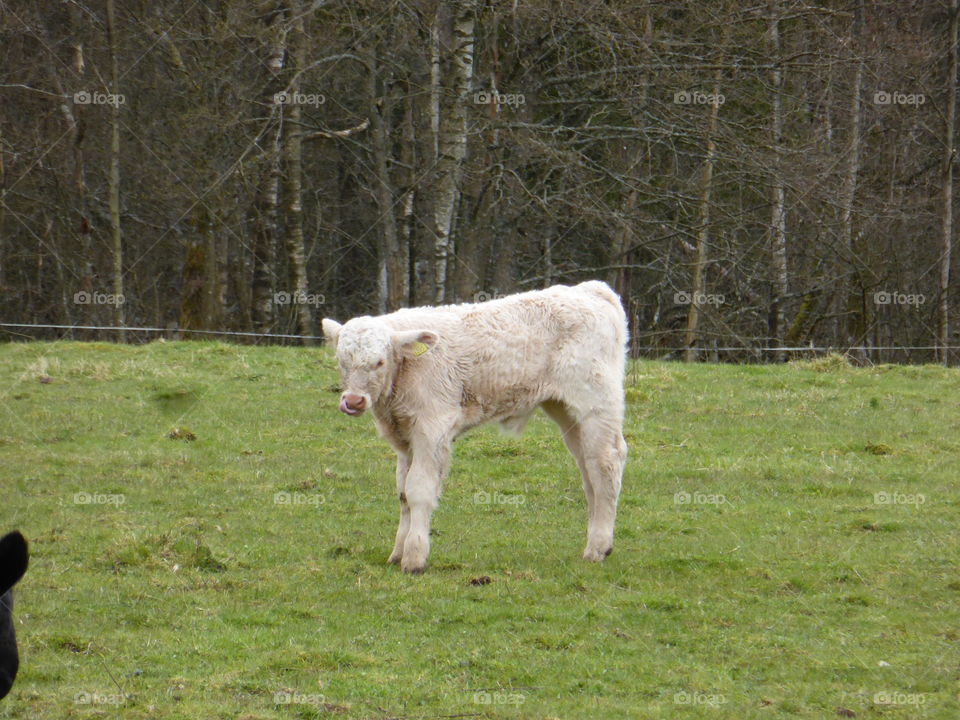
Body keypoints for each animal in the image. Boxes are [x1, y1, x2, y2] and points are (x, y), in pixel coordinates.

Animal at [322, 280, 628, 574]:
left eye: (379, 362)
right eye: (342, 361)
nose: (353, 401)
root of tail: (589, 289)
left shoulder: (432, 430)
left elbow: (419, 490)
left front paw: (414, 558)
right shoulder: (404, 439)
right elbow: (403, 493)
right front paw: (397, 553)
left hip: (596, 403)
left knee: (607, 462)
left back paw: (598, 548)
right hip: (565, 411)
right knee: (588, 469)